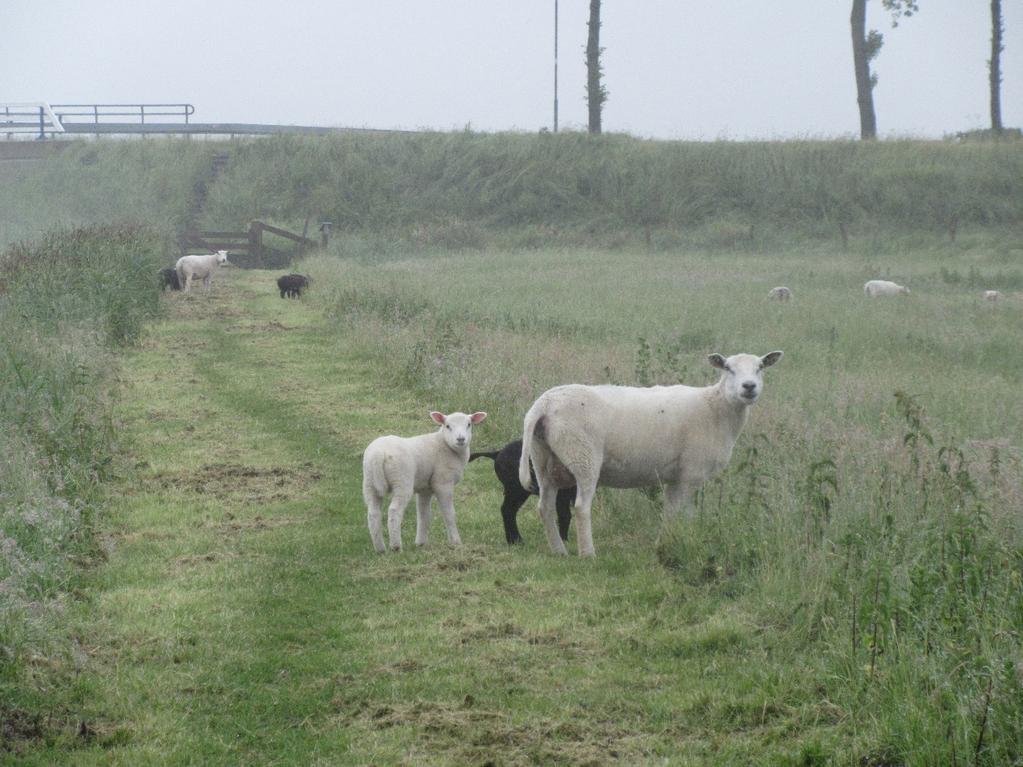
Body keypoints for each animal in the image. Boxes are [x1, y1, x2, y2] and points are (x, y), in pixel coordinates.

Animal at [360, 411, 486, 556]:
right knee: (394, 511)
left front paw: (421, 543)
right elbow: (449, 513)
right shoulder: (443, 482)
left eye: (469, 424)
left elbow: (423, 515)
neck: (444, 445)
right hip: (402, 480)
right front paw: (456, 542)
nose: (461, 439)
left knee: (373, 514)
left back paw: (380, 549)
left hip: (369, 483)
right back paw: (396, 547)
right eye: (447, 426)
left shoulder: (425, 488)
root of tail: (378, 454)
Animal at [515, 353, 785, 560]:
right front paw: (684, 543)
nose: (749, 386)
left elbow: (670, 512)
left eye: (760, 368)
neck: (716, 408)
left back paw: (559, 551)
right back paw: (588, 554)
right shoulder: (691, 474)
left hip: (543, 459)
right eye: (728, 368)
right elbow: (684, 514)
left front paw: (664, 545)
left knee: (545, 507)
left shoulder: (675, 477)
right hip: (583, 455)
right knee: (581, 507)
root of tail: (543, 405)